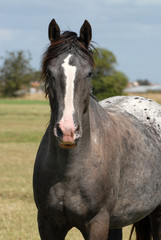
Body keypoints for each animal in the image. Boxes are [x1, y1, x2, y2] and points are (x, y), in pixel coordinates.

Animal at [32, 19, 161, 240]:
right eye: (49, 72)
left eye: (89, 73)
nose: (67, 131)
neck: (69, 170)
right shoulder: (48, 224)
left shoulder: (97, 223)